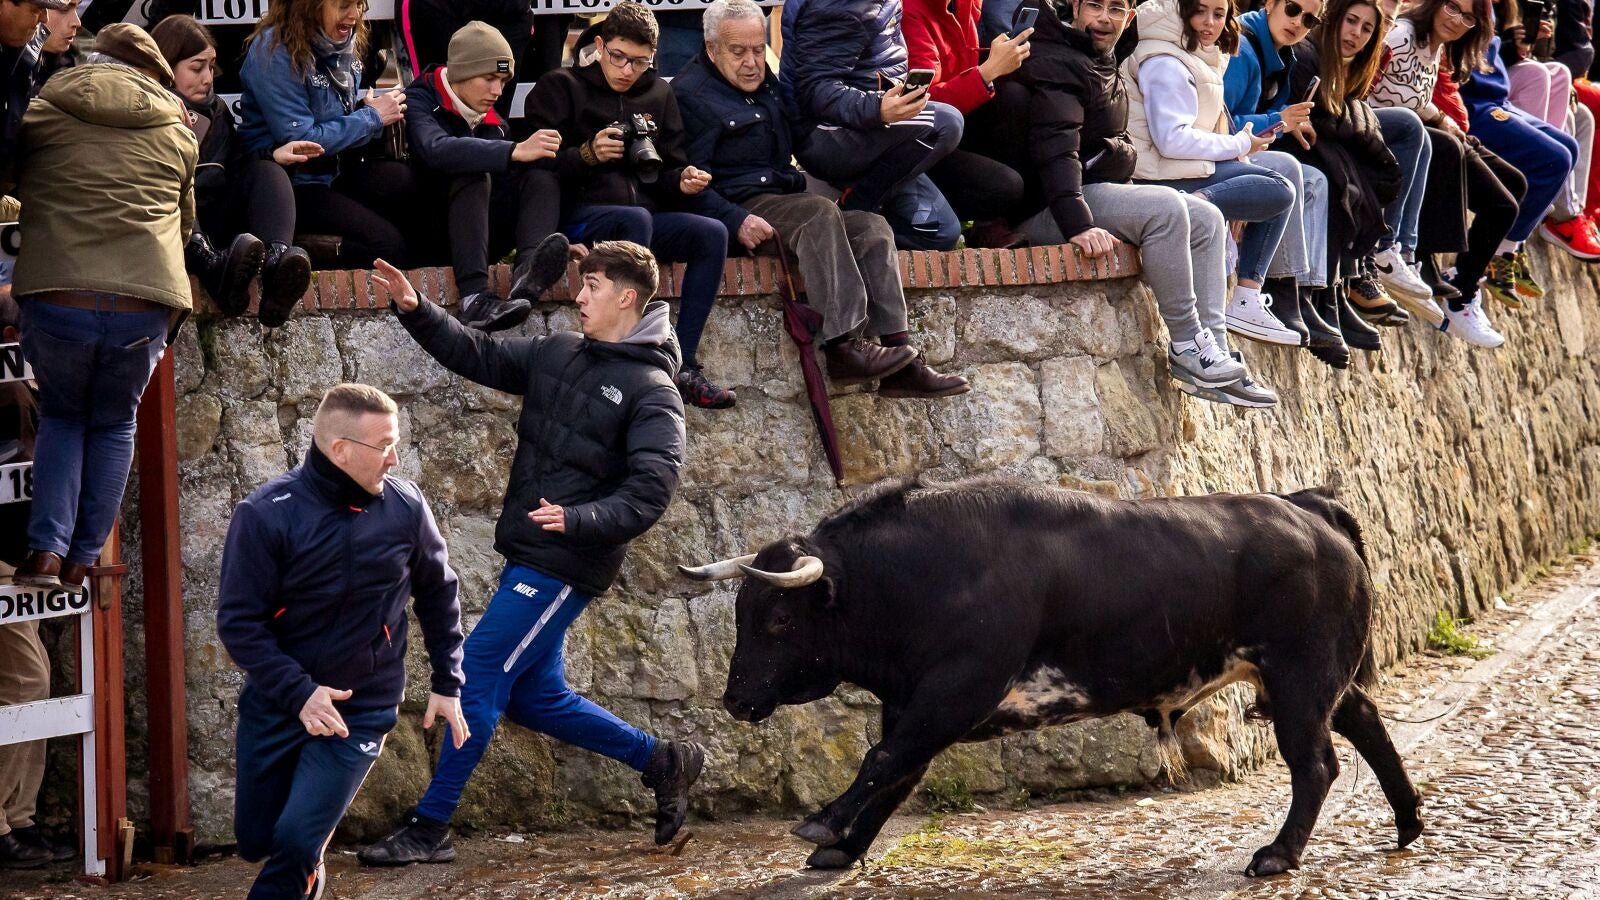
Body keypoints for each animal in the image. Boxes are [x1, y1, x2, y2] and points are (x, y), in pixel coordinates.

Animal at [679, 476, 1423, 876]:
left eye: (779, 620)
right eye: (742, 613)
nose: (736, 699)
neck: (921, 576)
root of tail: (1306, 506)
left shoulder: (955, 691)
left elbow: (882, 760)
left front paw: (823, 825)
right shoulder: (917, 702)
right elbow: (896, 770)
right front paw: (844, 845)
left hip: (1300, 681)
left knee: (1317, 764)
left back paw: (1279, 852)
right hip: (1319, 681)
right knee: (1366, 722)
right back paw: (1409, 822)